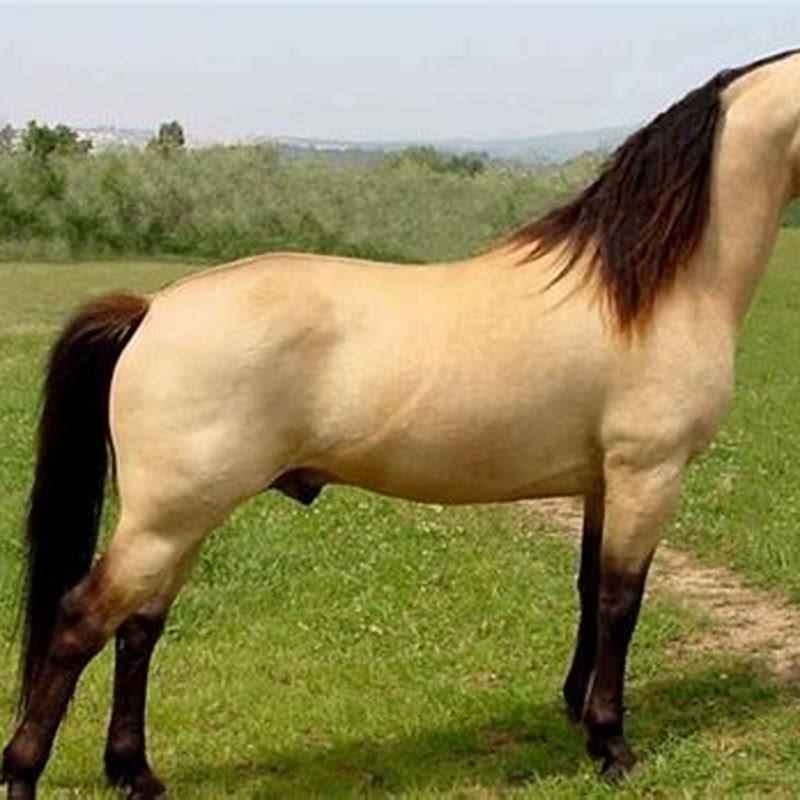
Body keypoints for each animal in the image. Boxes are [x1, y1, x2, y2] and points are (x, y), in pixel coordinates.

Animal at [3, 47, 800, 798]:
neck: (652, 290)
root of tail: (153, 309)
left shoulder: (603, 481)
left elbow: (587, 589)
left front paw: (577, 708)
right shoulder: (647, 475)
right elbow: (619, 603)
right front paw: (611, 744)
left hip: (181, 519)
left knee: (139, 627)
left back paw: (133, 772)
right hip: (167, 519)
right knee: (81, 622)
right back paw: (24, 771)